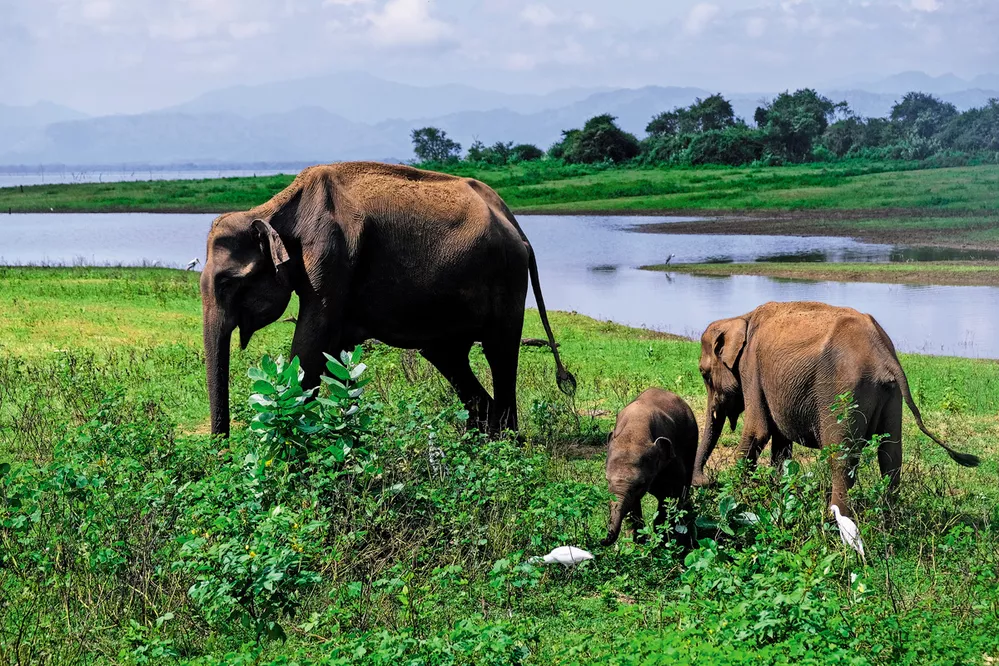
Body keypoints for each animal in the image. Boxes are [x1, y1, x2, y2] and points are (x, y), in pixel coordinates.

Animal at [200, 162, 576, 436]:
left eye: (227, 284)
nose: (223, 449)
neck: (276, 207)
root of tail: (517, 226)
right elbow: (336, 352)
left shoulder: (330, 257)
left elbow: (311, 343)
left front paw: (286, 438)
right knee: (447, 355)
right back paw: (479, 438)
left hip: (507, 277)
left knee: (499, 350)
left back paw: (507, 442)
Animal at [604, 384, 700, 544]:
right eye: (607, 480)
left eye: (641, 484)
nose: (603, 540)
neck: (635, 429)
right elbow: (633, 504)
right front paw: (636, 542)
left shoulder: (671, 459)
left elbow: (670, 495)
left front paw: (662, 540)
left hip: (692, 439)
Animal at [692, 300, 980, 512]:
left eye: (704, 374)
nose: (706, 482)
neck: (741, 317)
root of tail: (885, 354)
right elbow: (781, 444)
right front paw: (779, 497)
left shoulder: (752, 368)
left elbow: (758, 432)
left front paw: (734, 500)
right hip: (891, 394)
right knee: (890, 454)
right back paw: (888, 516)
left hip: (842, 391)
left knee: (840, 457)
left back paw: (836, 519)